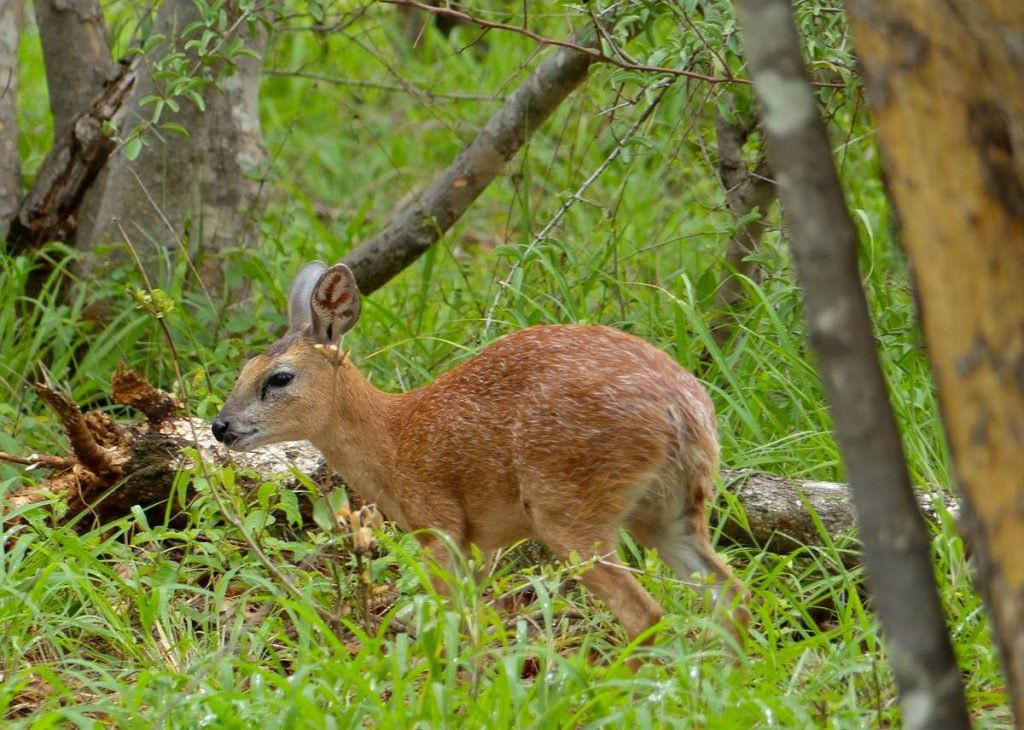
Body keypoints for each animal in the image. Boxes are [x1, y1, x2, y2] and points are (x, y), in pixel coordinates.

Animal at [211, 264, 749, 651]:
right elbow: (472, 618)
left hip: (568, 504)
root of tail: (684, 410)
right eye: (243, 368)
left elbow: (445, 616)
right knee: (731, 596)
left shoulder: (440, 523)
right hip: (669, 509)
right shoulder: (480, 544)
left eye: (279, 377)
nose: (220, 426)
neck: (393, 441)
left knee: (647, 613)